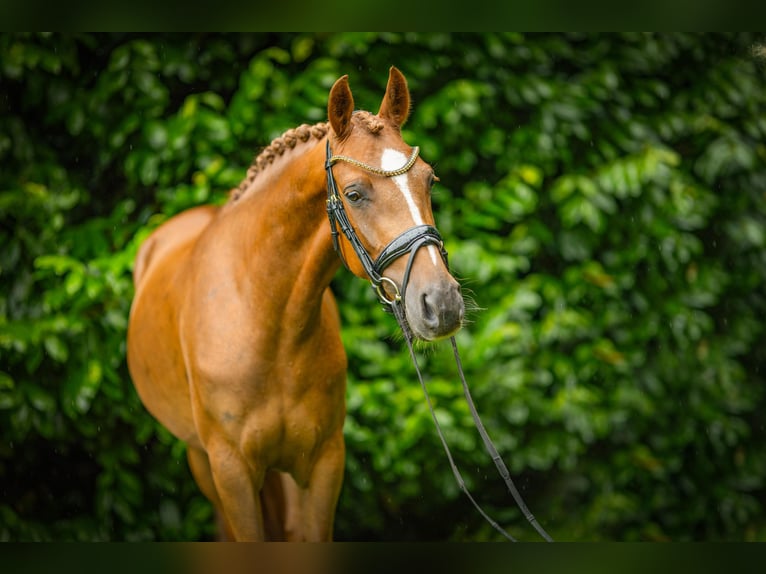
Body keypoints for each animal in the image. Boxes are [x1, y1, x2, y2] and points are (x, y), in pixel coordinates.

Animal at [124, 66, 468, 540]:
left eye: (429, 180)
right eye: (355, 193)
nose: (442, 302)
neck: (266, 319)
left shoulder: (323, 462)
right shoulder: (231, 470)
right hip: (201, 460)